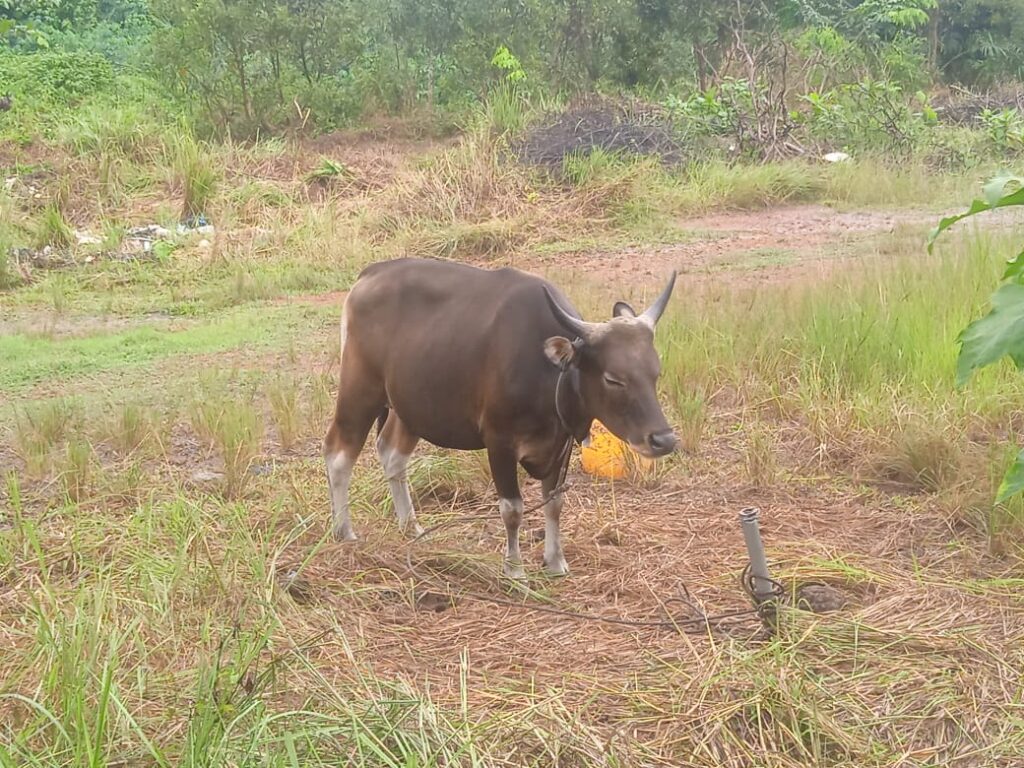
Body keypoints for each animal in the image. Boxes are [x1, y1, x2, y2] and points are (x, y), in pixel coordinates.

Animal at [327, 259, 675, 577]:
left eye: (655, 371)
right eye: (613, 379)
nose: (664, 439)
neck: (548, 374)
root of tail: (369, 274)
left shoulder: (559, 446)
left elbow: (554, 503)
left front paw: (555, 561)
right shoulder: (499, 443)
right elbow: (512, 509)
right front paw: (515, 568)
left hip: (410, 405)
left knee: (391, 454)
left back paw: (410, 527)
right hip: (360, 390)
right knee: (338, 453)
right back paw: (344, 532)